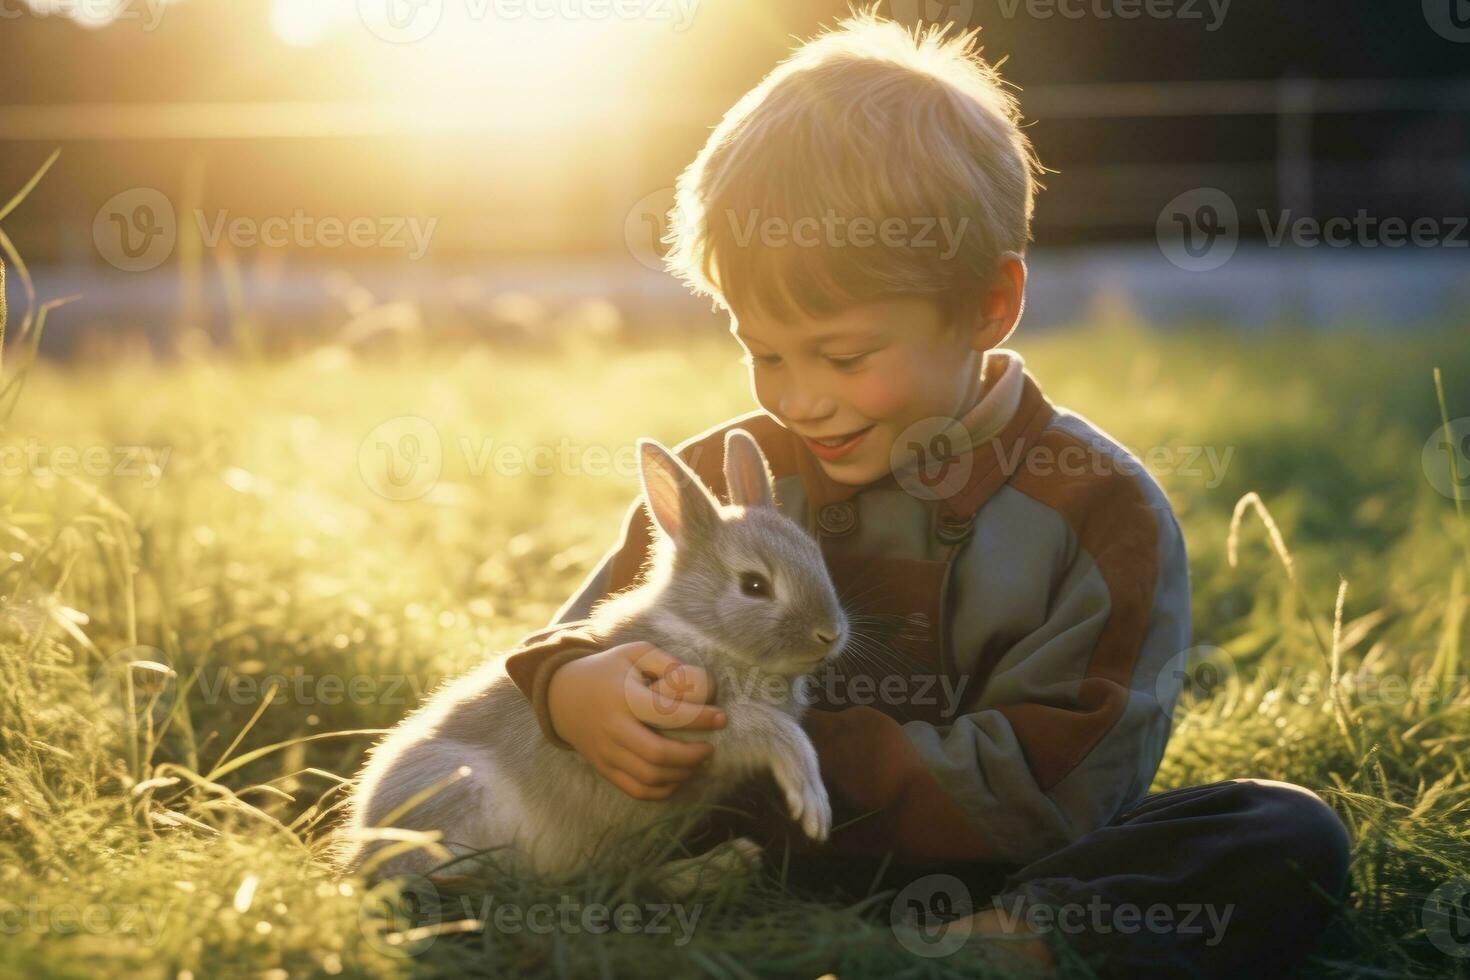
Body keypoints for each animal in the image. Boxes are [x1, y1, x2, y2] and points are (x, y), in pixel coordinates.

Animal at [339, 426, 852, 887]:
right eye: (754, 585)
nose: (830, 635)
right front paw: (812, 805)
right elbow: (777, 732)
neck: (702, 633)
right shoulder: (685, 724)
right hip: (456, 792)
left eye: (817, 557)